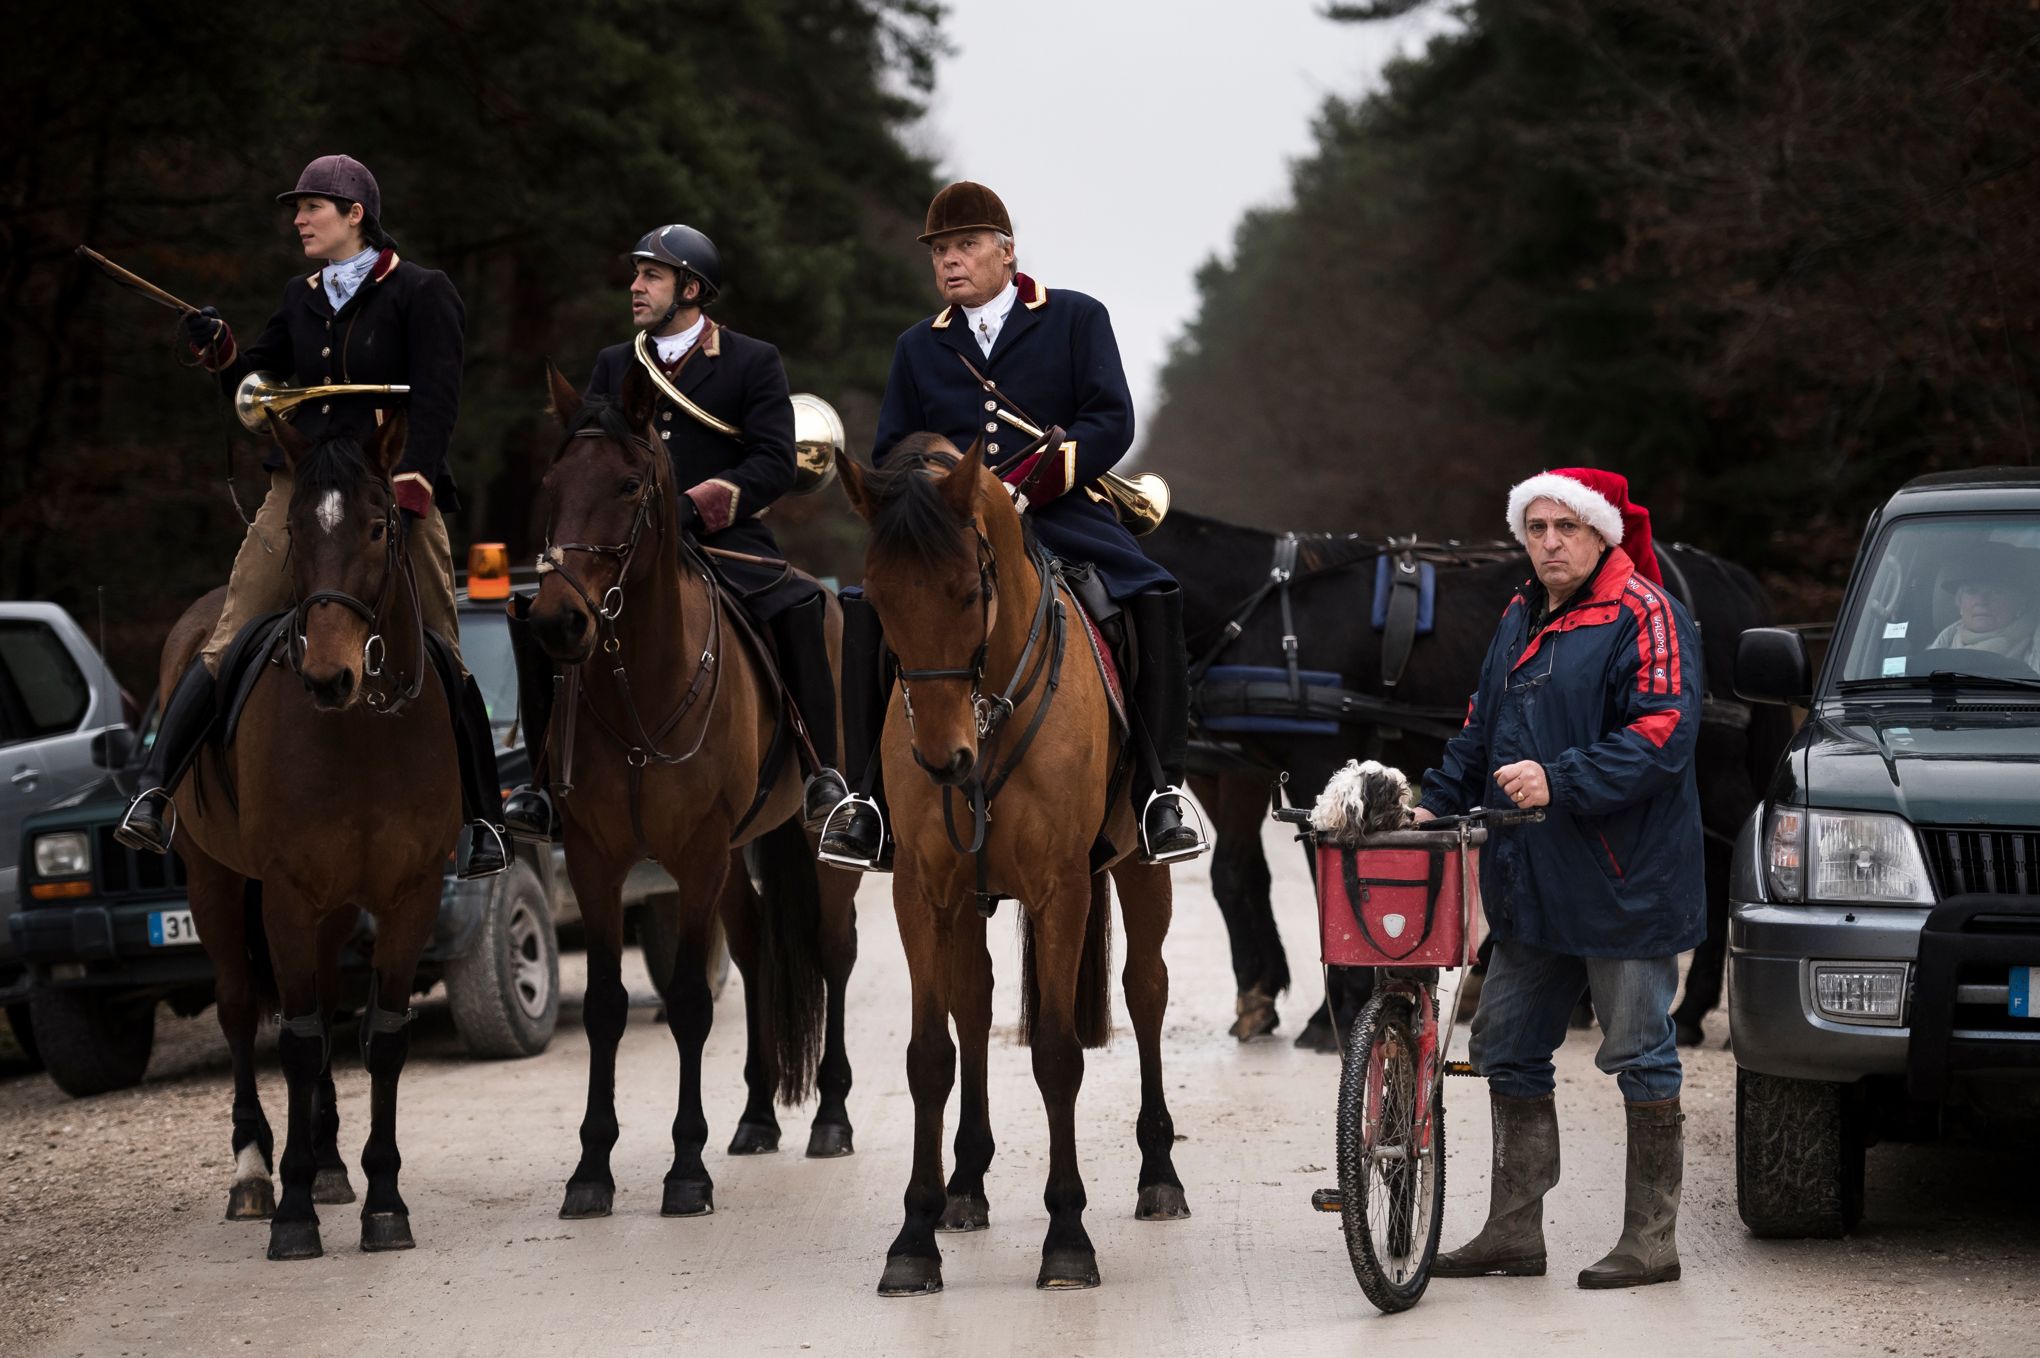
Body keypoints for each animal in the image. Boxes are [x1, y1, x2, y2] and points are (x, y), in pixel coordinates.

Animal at [167, 407, 463, 1256]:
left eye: (379, 526)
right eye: (296, 530)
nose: (330, 676)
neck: (361, 732)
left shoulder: (408, 895)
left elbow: (380, 1037)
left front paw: (384, 1202)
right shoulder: (287, 895)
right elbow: (293, 1041)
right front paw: (292, 1211)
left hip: (333, 913)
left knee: (329, 1010)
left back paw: (330, 1165)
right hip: (216, 883)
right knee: (242, 1009)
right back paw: (253, 1174)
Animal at [530, 356, 856, 1215]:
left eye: (628, 484)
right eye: (552, 482)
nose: (556, 622)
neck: (638, 683)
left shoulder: (698, 856)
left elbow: (687, 1002)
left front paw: (685, 1168)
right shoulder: (597, 861)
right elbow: (607, 1006)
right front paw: (591, 1169)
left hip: (817, 844)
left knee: (831, 950)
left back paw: (831, 1118)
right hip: (740, 852)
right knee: (756, 951)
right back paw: (755, 1116)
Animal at [836, 434, 1191, 1288]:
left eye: (969, 591)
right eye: (878, 603)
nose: (942, 761)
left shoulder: (1060, 889)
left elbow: (1059, 1056)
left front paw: (1067, 1235)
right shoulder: (921, 891)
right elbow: (931, 1055)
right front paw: (914, 1236)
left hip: (1139, 871)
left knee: (1146, 992)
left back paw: (1159, 1173)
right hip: (966, 898)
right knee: (974, 1004)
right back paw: (965, 1184)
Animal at [1150, 507, 1803, 1043]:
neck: (1261, 605)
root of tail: (1726, 576)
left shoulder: (1312, 755)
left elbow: (1319, 877)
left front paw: (1330, 1006)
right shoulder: (1239, 768)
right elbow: (1237, 875)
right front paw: (1260, 997)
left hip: (1713, 771)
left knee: (1724, 858)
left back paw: (1691, 1008)